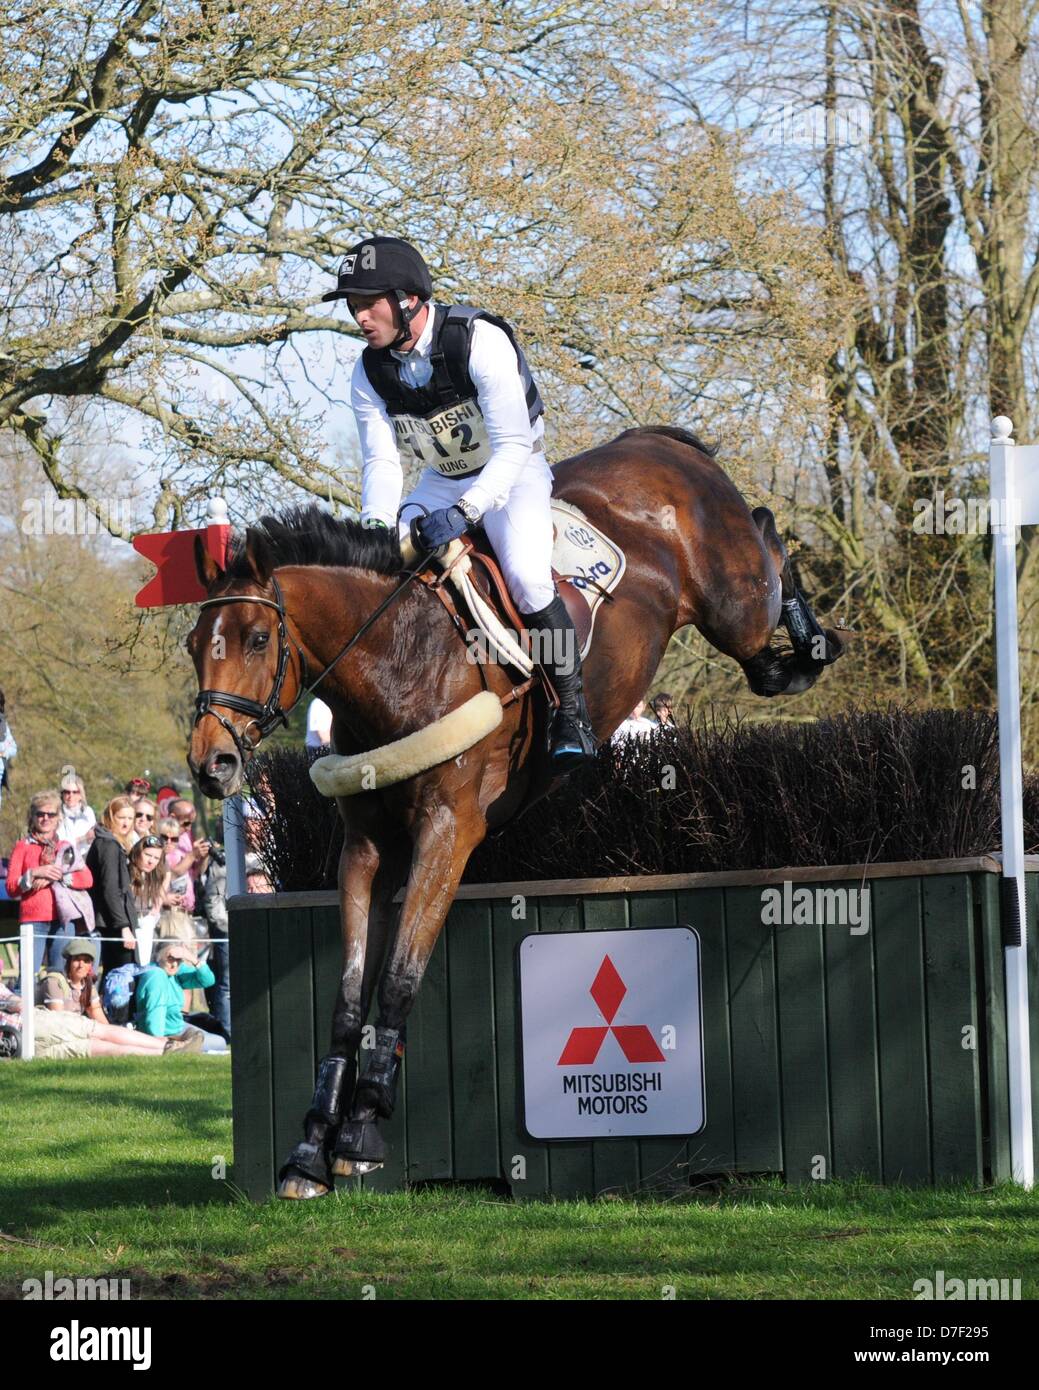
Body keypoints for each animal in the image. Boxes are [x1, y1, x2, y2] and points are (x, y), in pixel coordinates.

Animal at [184, 419, 845, 1195]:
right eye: (195, 644)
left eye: (258, 639)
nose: (210, 765)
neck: (400, 659)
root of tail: (659, 443)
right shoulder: (367, 848)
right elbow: (349, 995)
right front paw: (313, 1146)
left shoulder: (448, 833)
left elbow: (399, 980)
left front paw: (365, 1129)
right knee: (764, 637)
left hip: (734, 605)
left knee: (771, 551)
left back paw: (811, 637)